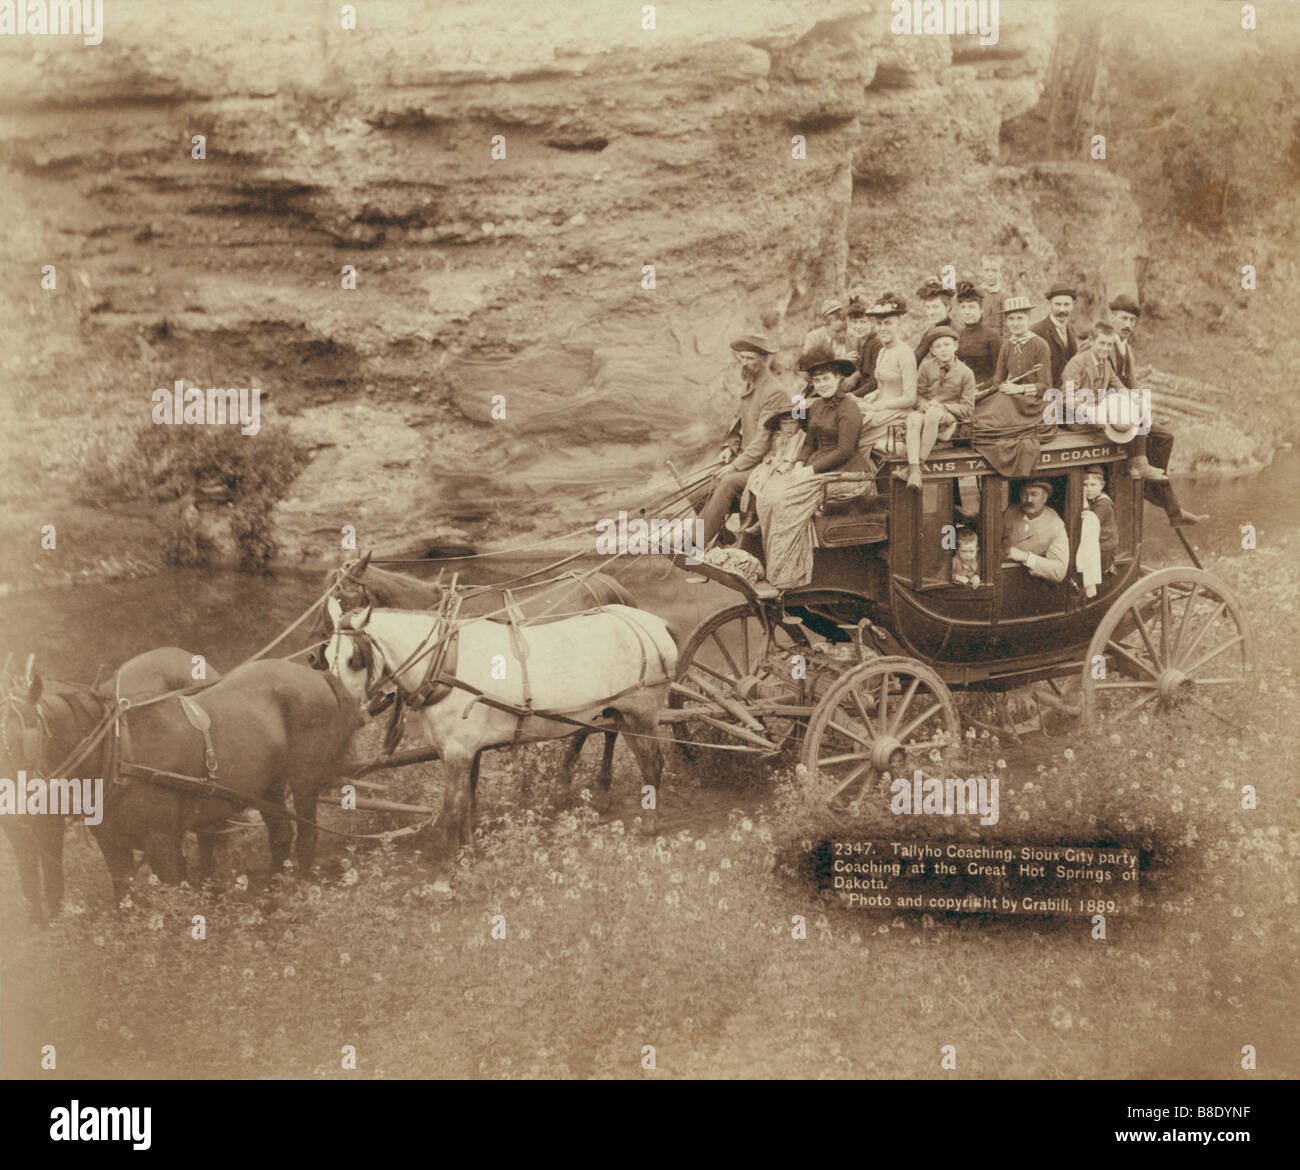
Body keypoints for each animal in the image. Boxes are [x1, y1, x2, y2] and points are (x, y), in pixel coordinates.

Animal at [0, 650, 220, 925]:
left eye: (24, 740)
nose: (9, 804)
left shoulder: (48, 824)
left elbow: (52, 878)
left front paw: (56, 923)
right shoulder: (17, 830)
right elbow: (28, 878)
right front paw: (35, 925)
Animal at [322, 598, 681, 852]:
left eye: (354, 660)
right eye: (324, 657)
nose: (342, 714)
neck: (444, 664)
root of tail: (655, 623)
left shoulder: (458, 751)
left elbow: (451, 811)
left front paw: (446, 869)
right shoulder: (462, 751)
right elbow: (467, 803)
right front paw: (468, 852)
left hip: (642, 712)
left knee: (653, 765)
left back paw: (649, 826)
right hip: (619, 712)